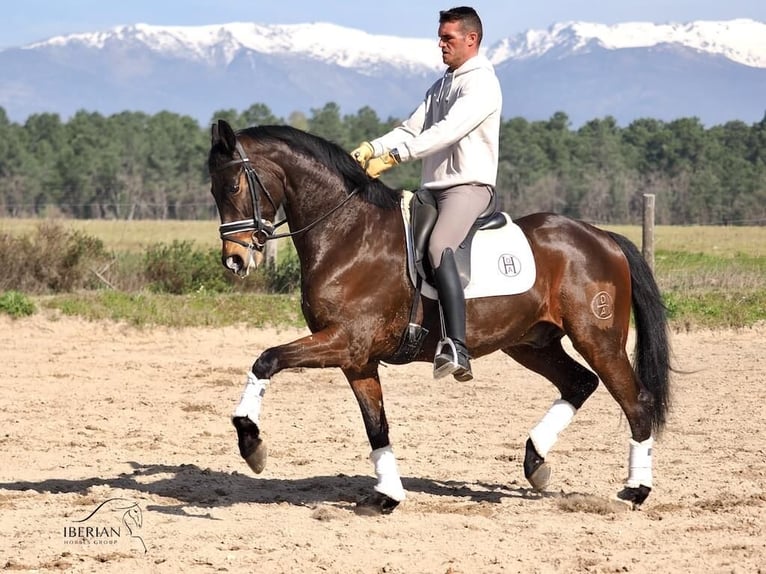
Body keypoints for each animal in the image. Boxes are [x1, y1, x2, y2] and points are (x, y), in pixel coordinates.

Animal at [207, 118, 671, 514]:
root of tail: (601, 236)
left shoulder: (344, 341)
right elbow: (377, 426)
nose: (234, 261)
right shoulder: (357, 360)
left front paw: (251, 444)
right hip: (530, 343)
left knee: (636, 402)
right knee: (579, 383)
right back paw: (536, 463)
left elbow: (266, 359)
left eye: (233, 184)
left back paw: (635, 489)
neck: (348, 233)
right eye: (213, 190)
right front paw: (387, 496)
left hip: (597, 337)